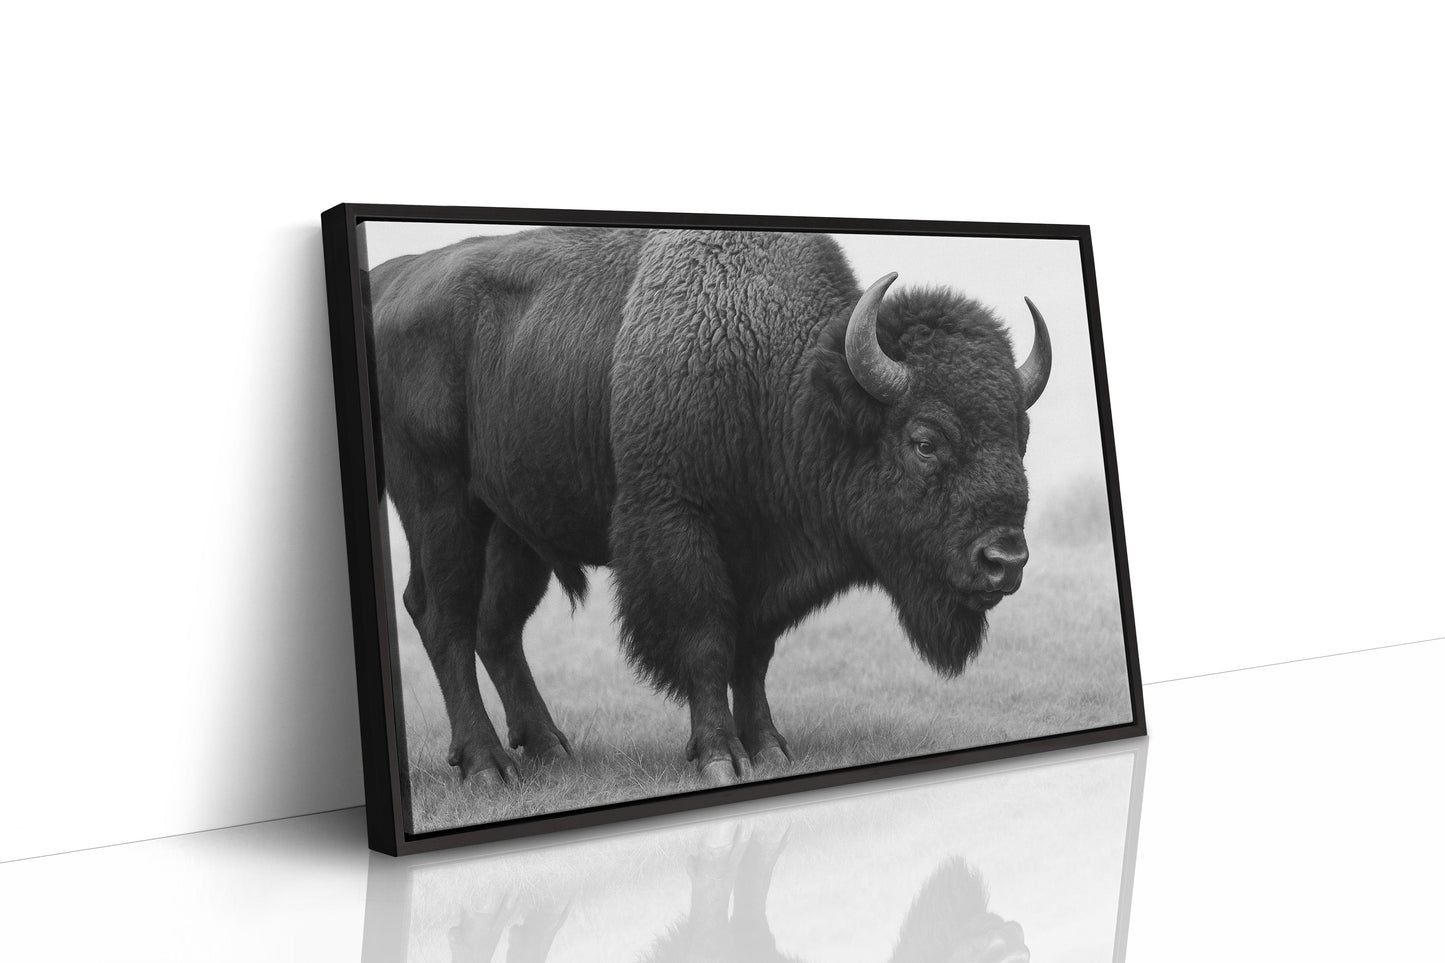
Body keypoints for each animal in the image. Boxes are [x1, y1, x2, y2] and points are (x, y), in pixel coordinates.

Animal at [368, 228, 1051, 788]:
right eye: (925, 440)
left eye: (1021, 435)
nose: (1005, 560)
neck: (787, 381)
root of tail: (387, 286)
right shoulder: (679, 526)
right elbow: (706, 642)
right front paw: (721, 756)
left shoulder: (762, 568)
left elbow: (753, 655)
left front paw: (770, 747)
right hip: (439, 504)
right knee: (442, 615)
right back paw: (487, 766)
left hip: (513, 528)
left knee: (496, 626)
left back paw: (551, 750)